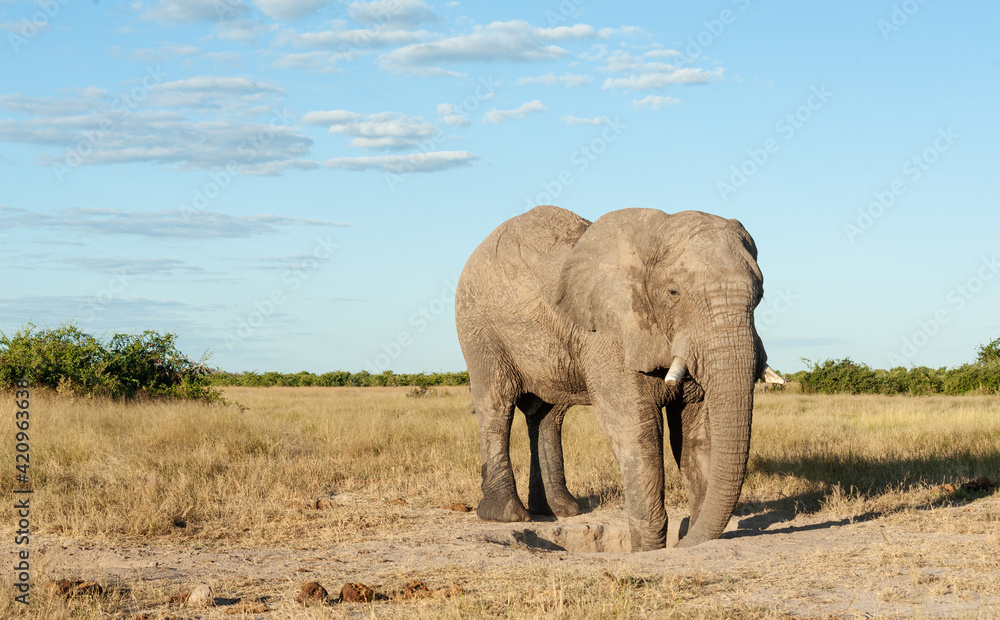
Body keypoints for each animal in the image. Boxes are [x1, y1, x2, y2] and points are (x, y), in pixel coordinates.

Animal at [455, 205, 768, 551]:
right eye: (673, 292)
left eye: (760, 295)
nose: (685, 536)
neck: (651, 237)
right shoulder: (607, 333)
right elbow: (636, 427)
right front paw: (648, 548)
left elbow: (695, 432)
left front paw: (691, 535)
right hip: (478, 327)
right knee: (497, 404)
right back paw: (508, 516)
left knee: (547, 414)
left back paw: (559, 511)